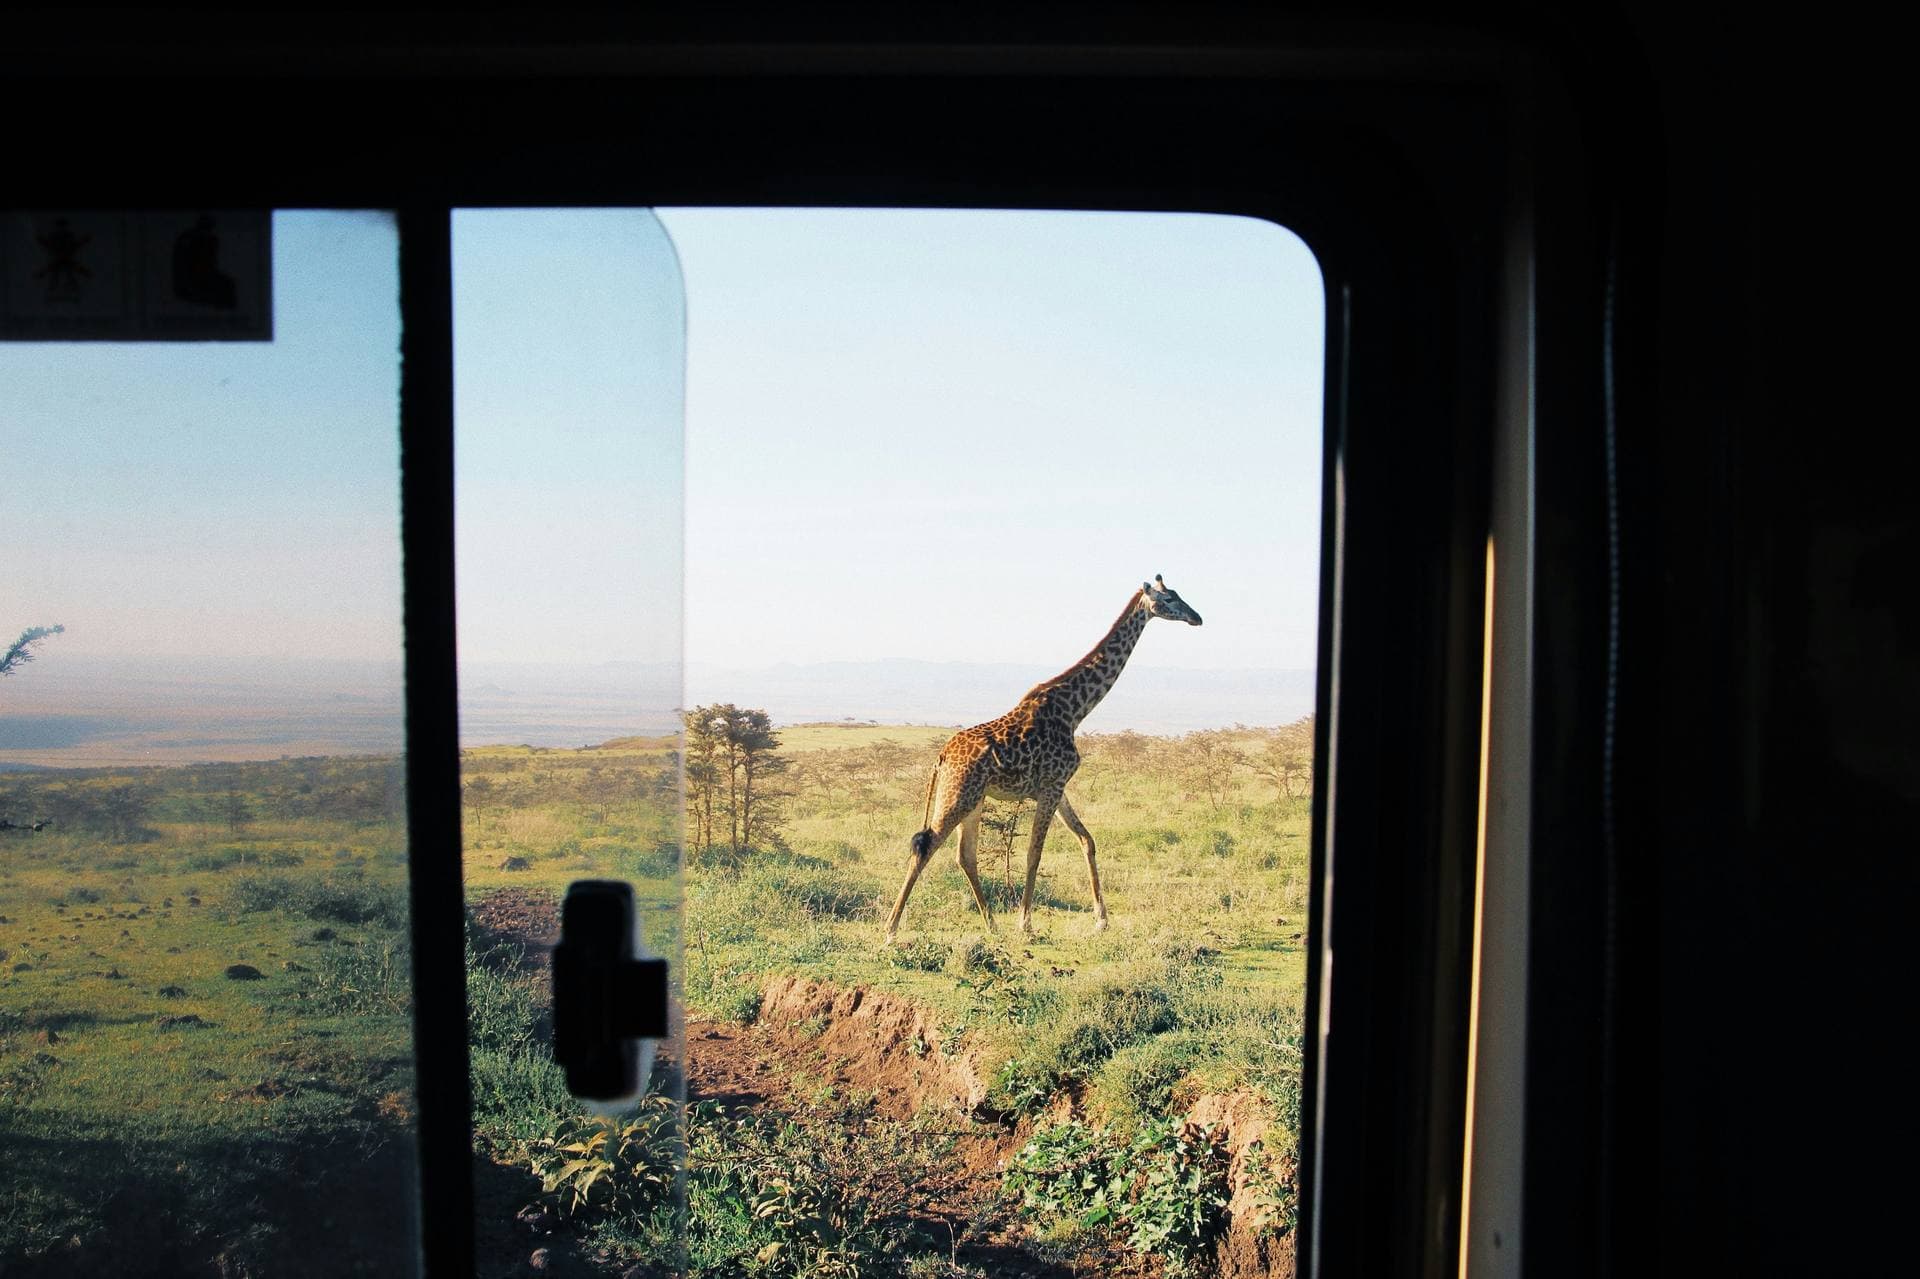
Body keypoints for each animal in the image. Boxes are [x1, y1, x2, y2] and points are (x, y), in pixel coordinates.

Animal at [883, 575, 1203, 944]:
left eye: (1178, 594)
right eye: (1170, 598)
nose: (1197, 617)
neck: (1075, 709)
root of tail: (942, 756)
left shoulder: (1057, 787)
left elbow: (1087, 841)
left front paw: (1101, 920)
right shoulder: (1051, 787)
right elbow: (1034, 853)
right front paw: (1026, 923)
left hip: (973, 799)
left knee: (965, 856)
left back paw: (991, 925)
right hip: (958, 795)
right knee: (926, 846)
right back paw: (891, 929)